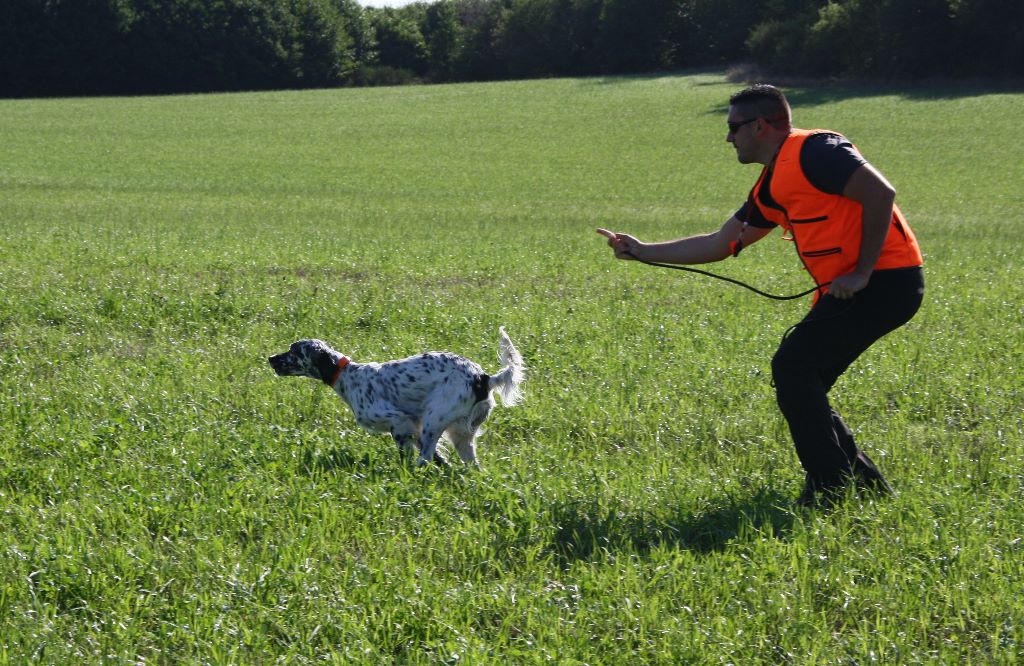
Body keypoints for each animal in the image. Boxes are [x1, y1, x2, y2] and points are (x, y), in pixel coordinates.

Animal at [268, 323, 524, 465]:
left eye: (293, 351)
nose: (271, 358)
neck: (348, 376)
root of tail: (483, 377)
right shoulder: (414, 428)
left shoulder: (400, 422)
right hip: (461, 435)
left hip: (434, 420)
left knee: (425, 458)